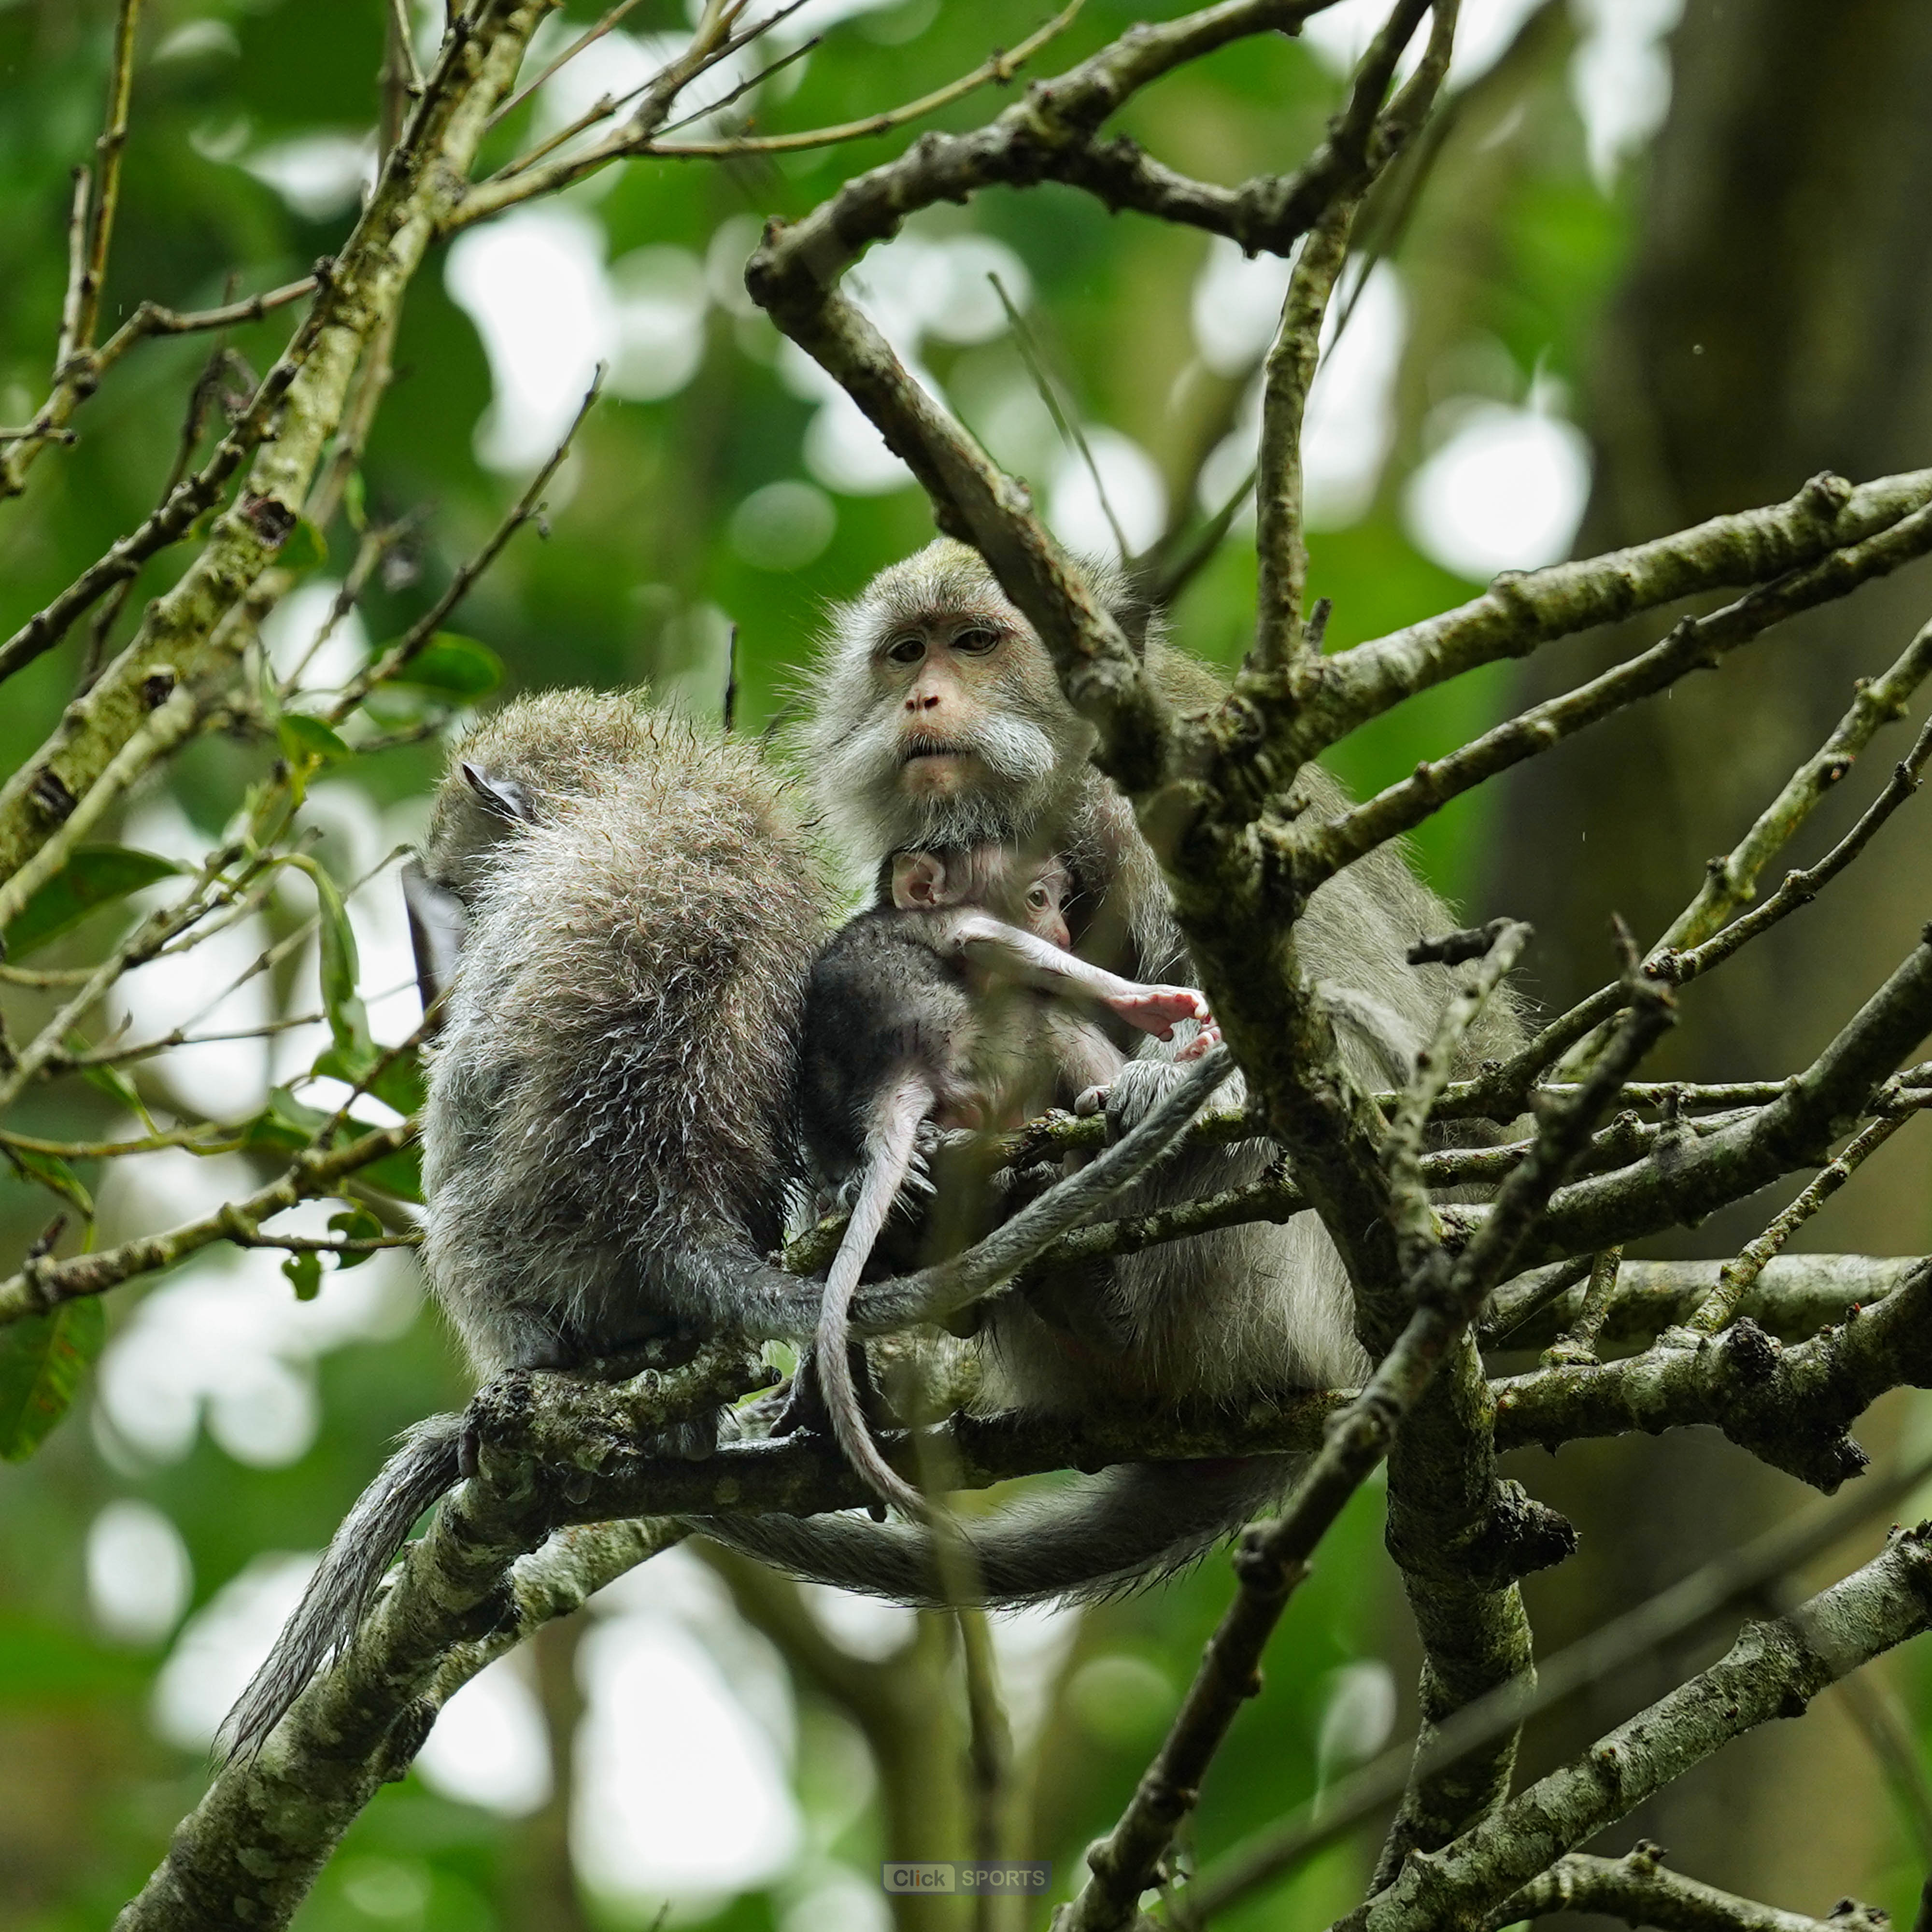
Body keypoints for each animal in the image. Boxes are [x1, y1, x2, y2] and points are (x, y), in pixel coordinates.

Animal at [799, 841, 1215, 1522]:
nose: (1066, 933)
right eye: (1039, 898)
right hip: (979, 1053)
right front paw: (1147, 1002)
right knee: (1040, 1008)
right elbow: (982, 938)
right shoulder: (956, 923)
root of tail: (894, 1081)